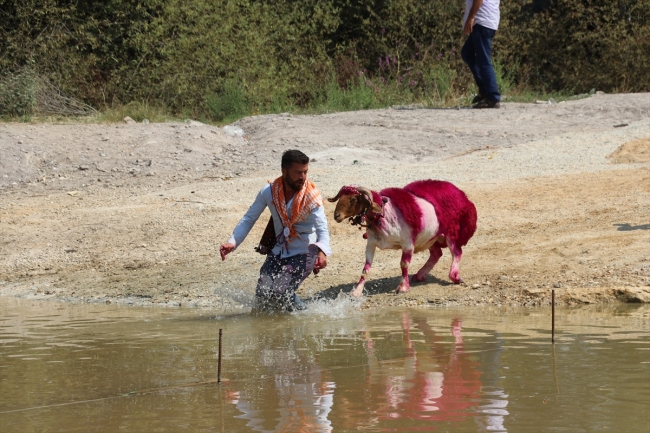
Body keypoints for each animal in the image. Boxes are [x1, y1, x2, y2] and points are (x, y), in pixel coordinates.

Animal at [330, 180, 476, 296]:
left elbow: (404, 264)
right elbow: (365, 269)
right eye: (340, 197)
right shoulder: (371, 243)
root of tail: (458, 192)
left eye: (354, 199)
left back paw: (455, 277)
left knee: (456, 252)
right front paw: (356, 292)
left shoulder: (408, 243)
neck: (383, 215)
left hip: (451, 234)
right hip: (430, 237)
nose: (336, 216)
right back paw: (420, 275)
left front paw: (403, 287)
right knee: (436, 254)